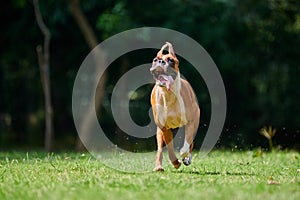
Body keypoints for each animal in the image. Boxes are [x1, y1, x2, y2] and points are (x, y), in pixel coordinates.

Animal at [149, 41, 199, 171]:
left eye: (171, 60)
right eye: (155, 60)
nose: (161, 61)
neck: (168, 94)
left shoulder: (192, 120)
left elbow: (187, 142)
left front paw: (185, 155)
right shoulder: (164, 128)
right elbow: (170, 147)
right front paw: (175, 162)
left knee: (191, 142)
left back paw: (187, 157)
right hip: (159, 131)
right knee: (160, 148)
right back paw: (158, 166)